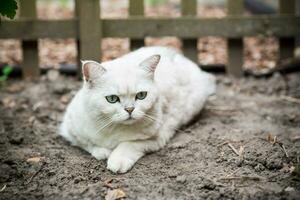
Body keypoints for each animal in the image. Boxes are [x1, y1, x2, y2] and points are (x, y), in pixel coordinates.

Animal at [60, 46, 216, 173]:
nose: (130, 109)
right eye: (112, 99)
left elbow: (128, 144)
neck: (114, 128)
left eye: (141, 95)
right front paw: (102, 152)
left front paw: (117, 160)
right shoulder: (69, 129)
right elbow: (87, 143)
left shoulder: (158, 137)